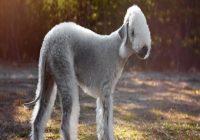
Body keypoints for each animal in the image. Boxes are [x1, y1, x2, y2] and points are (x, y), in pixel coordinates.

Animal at [26, 4, 152, 140]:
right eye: (132, 32)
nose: (145, 49)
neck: (118, 48)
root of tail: (48, 41)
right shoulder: (106, 90)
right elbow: (106, 122)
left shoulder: (103, 94)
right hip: (64, 70)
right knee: (65, 124)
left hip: (47, 78)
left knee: (38, 120)